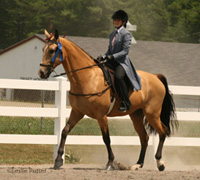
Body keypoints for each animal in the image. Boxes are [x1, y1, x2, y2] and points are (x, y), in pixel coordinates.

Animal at [38, 29, 177, 170]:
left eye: (52, 50)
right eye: (43, 49)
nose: (41, 73)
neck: (88, 78)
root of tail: (156, 77)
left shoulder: (101, 115)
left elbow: (106, 138)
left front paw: (110, 163)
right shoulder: (77, 112)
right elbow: (64, 131)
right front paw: (58, 160)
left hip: (152, 114)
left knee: (163, 132)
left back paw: (160, 163)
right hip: (136, 115)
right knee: (144, 137)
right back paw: (138, 164)